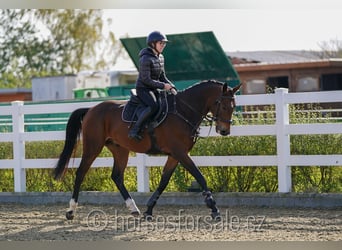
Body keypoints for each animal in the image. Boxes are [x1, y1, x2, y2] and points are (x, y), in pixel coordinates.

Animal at [52, 80, 240, 221]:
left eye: (233, 106)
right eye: (222, 105)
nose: (224, 130)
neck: (183, 111)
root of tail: (91, 109)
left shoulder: (175, 155)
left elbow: (164, 181)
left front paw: (149, 210)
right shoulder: (180, 153)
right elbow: (199, 176)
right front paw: (213, 208)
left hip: (120, 150)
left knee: (117, 176)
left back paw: (133, 208)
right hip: (93, 147)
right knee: (81, 173)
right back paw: (71, 211)